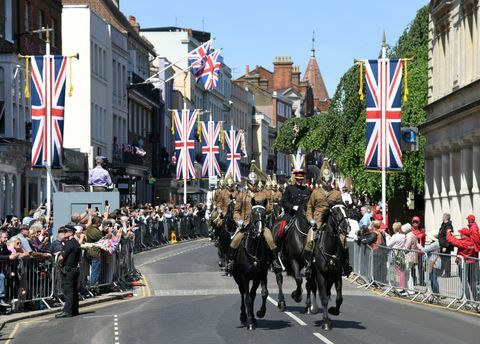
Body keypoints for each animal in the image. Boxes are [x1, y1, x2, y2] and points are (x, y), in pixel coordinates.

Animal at [232, 202, 270, 330]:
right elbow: (248, 298)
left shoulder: (260, 276)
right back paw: (244, 316)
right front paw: (249, 322)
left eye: (264, 213)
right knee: (242, 293)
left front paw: (259, 314)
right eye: (253, 214)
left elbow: (262, 294)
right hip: (238, 278)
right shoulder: (244, 277)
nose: (259, 231)